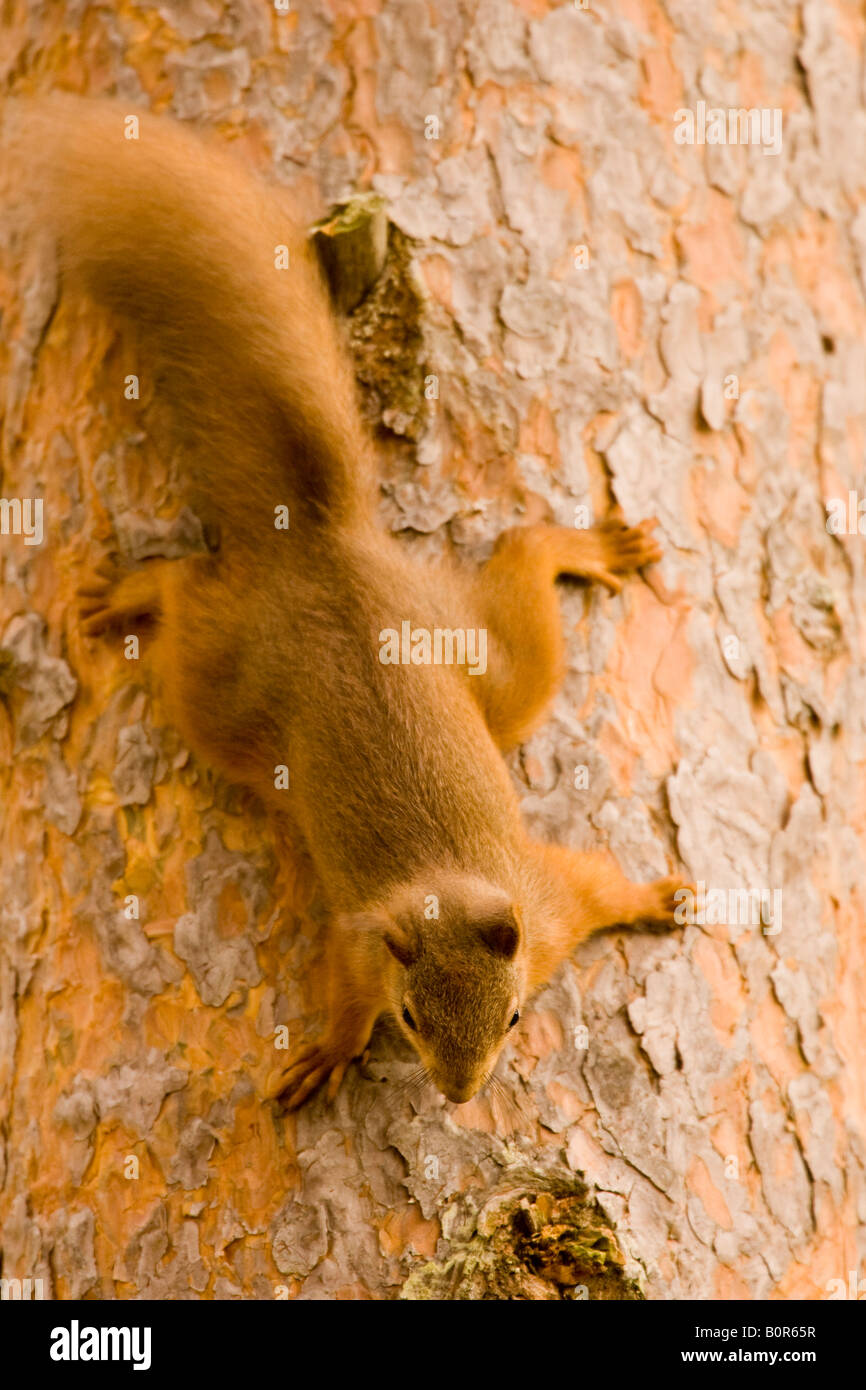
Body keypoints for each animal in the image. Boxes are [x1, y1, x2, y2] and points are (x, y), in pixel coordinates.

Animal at [5, 97, 683, 1106]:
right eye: (413, 1019)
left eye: (514, 1017)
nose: (460, 1094)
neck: (452, 888)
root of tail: (328, 552)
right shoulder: (364, 940)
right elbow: (344, 989)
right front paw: (330, 1049)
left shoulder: (550, 902)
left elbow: (600, 886)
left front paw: (657, 897)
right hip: (231, 692)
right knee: (188, 598)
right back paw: (135, 588)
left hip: (467, 656)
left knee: (521, 577)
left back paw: (583, 546)